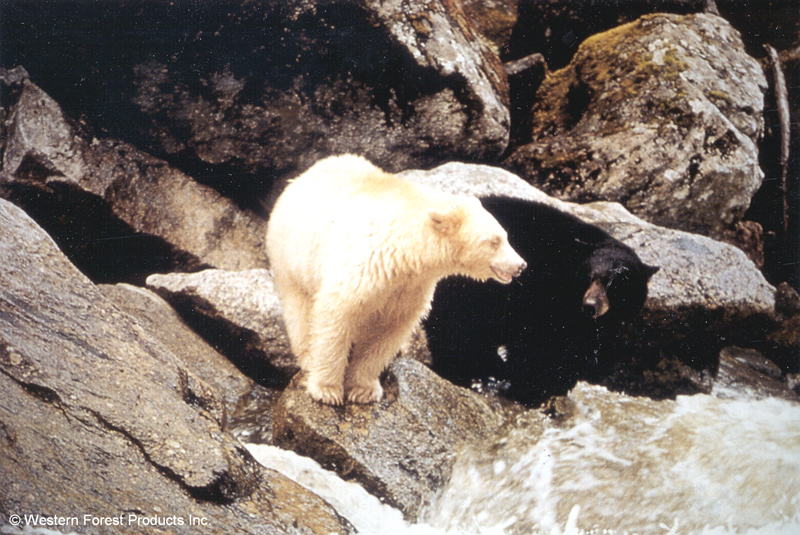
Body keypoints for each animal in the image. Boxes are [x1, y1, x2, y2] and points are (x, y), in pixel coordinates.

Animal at [266, 155, 528, 406]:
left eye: (505, 236)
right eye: (494, 241)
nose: (521, 265)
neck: (407, 250)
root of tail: (306, 173)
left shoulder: (410, 287)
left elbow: (388, 331)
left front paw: (363, 389)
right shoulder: (366, 267)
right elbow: (337, 313)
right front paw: (327, 390)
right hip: (292, 256)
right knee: (299, 308)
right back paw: (308, 356)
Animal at [424, 197, 656, 406]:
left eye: (614, 284)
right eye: (589, 277)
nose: (590, 306)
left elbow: (578, 349)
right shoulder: (540, 298)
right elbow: (538, 346)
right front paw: (531, 390)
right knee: (458, 331)